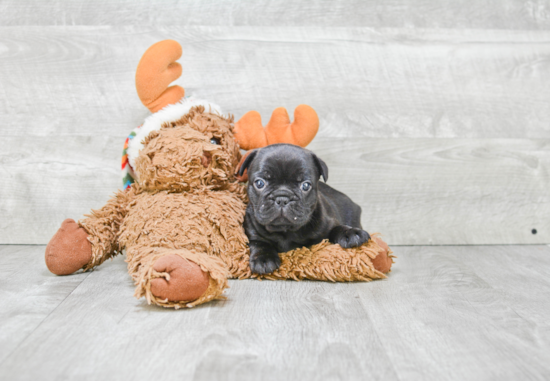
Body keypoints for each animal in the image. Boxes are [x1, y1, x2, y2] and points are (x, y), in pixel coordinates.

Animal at [237, 142, 370, 274]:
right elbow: (258, 243)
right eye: (259, 183)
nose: (282, 198)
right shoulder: (251, 232)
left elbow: (336, 228)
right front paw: (263, 258)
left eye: (305, 185)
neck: (285, 231)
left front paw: (351, 233)